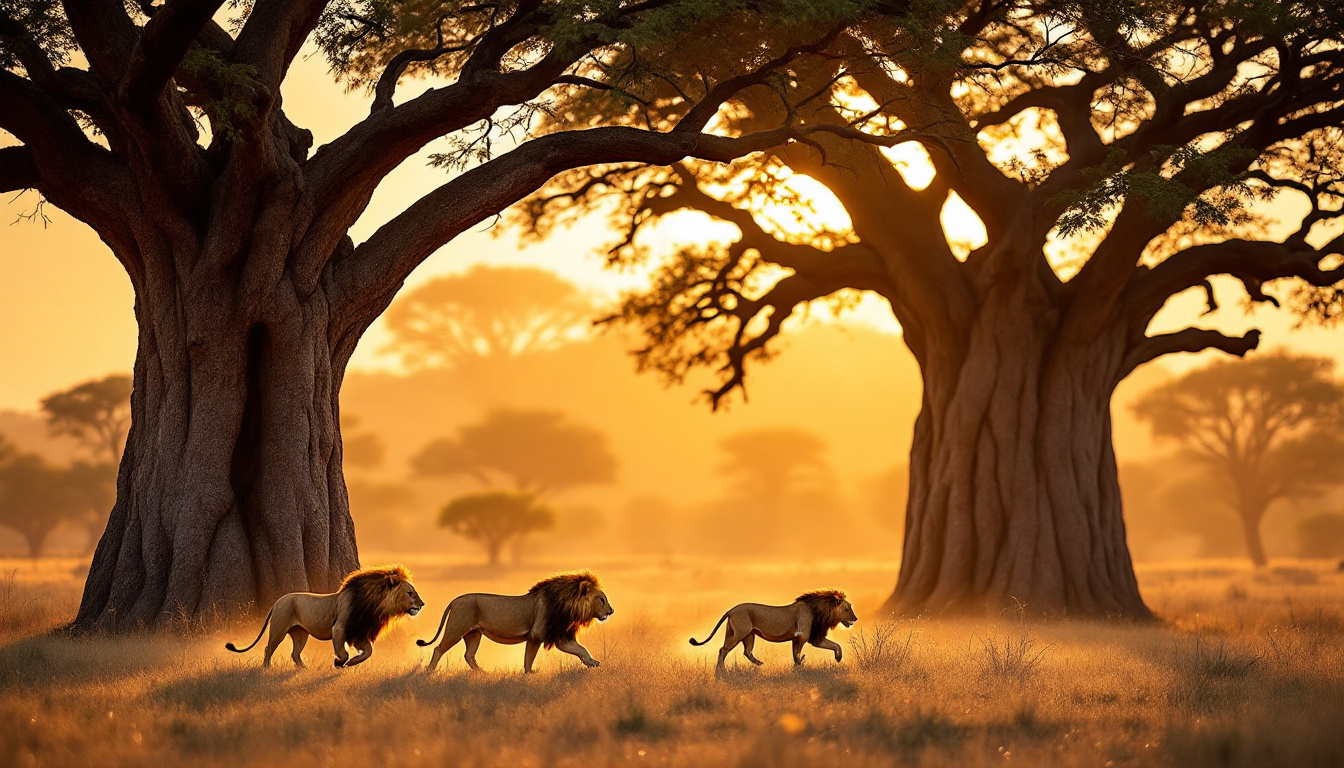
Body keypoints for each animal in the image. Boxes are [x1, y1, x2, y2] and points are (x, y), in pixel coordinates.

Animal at [225, 562, 422, 669]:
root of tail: (277, 601)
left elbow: (369, 652)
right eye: (410, 593)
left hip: (300, 634)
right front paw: (339, 662)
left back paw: (304, 669)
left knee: (294, 654)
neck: (373, 606)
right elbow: (343, 652)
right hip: (279, 629)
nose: (422, 605)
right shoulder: (340, 628)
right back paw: (266, 668)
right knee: (268, 648)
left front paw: (352, 662)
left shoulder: (359, 633)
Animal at [416, 570, 615, 672]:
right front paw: (529, 674)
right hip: (457, 629)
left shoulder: (560, 636)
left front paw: (592, 662)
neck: (569, 605)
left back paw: (483, 674)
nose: (611, 611)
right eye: (601, 599)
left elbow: (581, 649)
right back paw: (429, 672)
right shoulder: (537, 634)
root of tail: (456, 599)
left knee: (469, 655)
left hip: (474, 633)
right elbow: (529, 657)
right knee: (438, 648)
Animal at [688, 589, 854, 672]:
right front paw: (799, 666)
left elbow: (835, 645)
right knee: (723, 650)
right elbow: (797, 654)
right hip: (741, 632)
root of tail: (731, 610)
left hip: (745, 634)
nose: (856, 618)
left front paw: (838, 657)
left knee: (745, 651)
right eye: (847, 609)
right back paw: (720, 671)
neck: (819, 611)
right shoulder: (803, 635)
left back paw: (759, 663)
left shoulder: (810, 637)